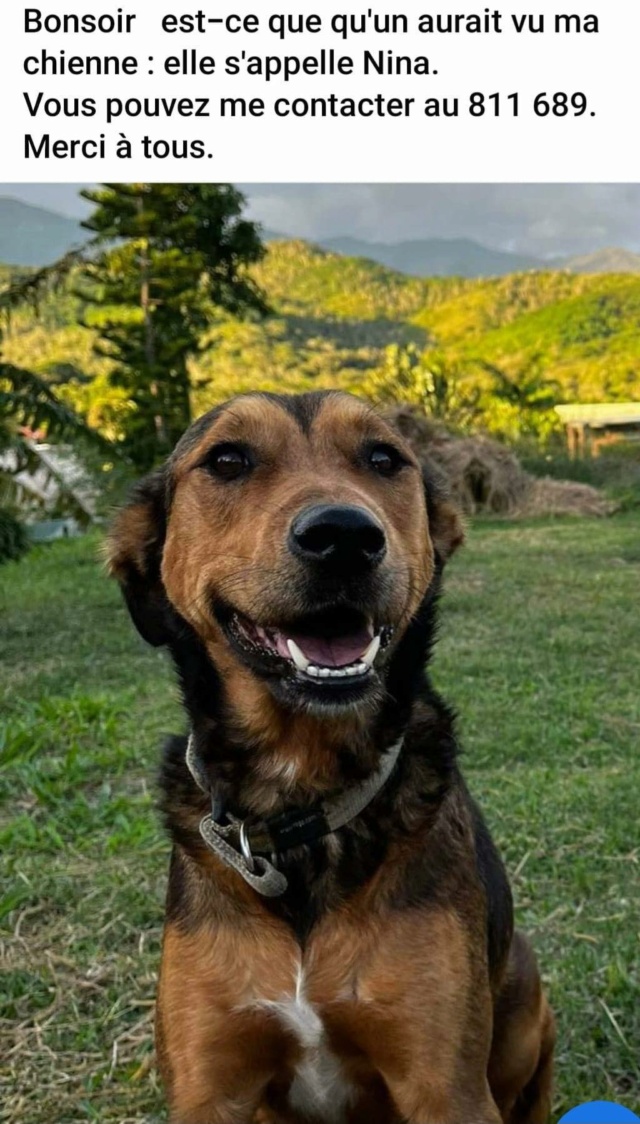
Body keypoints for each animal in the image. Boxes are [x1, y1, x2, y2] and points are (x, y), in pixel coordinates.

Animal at [107, 393, 551, 1124]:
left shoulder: (448, 1085)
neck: (302, 801)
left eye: (384, 459)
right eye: (227, 460)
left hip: (528, 998)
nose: (344, 536)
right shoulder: (210, 1084)